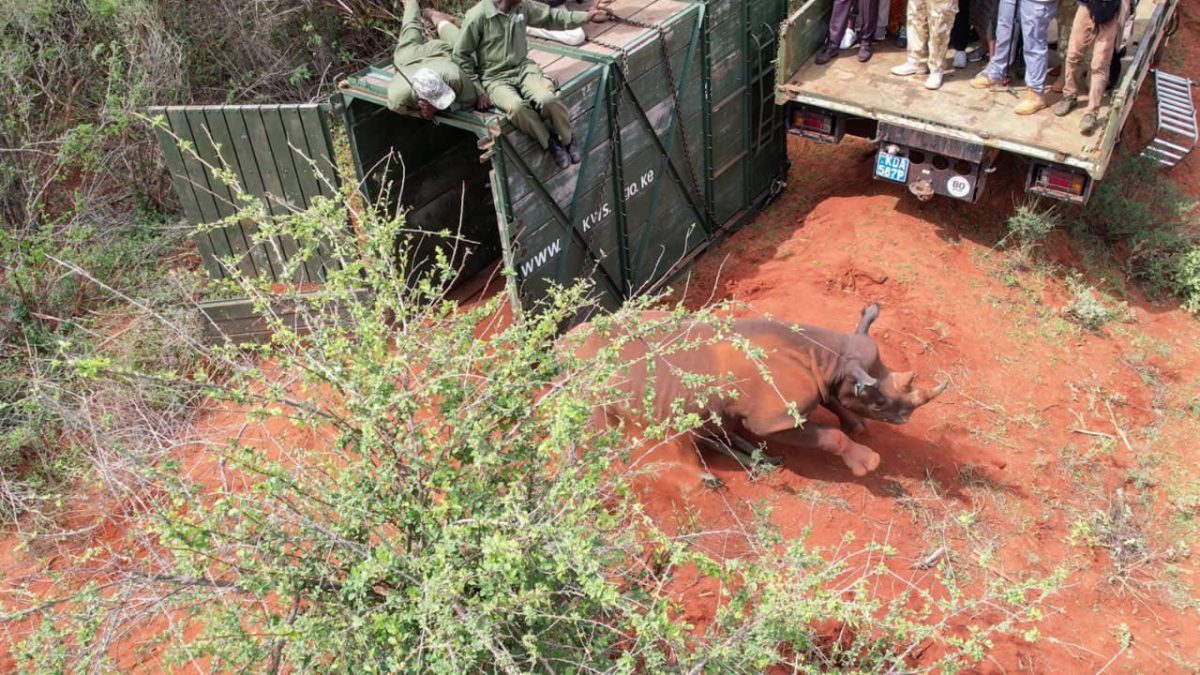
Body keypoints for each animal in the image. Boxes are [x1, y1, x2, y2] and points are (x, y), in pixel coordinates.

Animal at [570, 304, 947, 476]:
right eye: (880, 402)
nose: (906, 418)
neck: (829, 359)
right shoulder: (774, 419)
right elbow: (830, 438)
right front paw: (867, 463)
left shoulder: (832, 376)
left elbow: (834, 401)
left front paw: (857, 426)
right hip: (592, 385)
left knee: (708, 422)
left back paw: (759, 462)